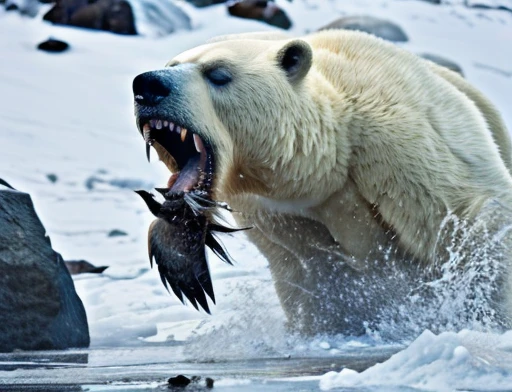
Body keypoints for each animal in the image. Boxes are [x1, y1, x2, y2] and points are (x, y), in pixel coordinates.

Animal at [133, 29, 512, 334]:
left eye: (218, 73)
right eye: (172, 63)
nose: (147, 85)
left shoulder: (399, 149)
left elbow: (474, 217)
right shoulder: (273, 214)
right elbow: (310, 277)